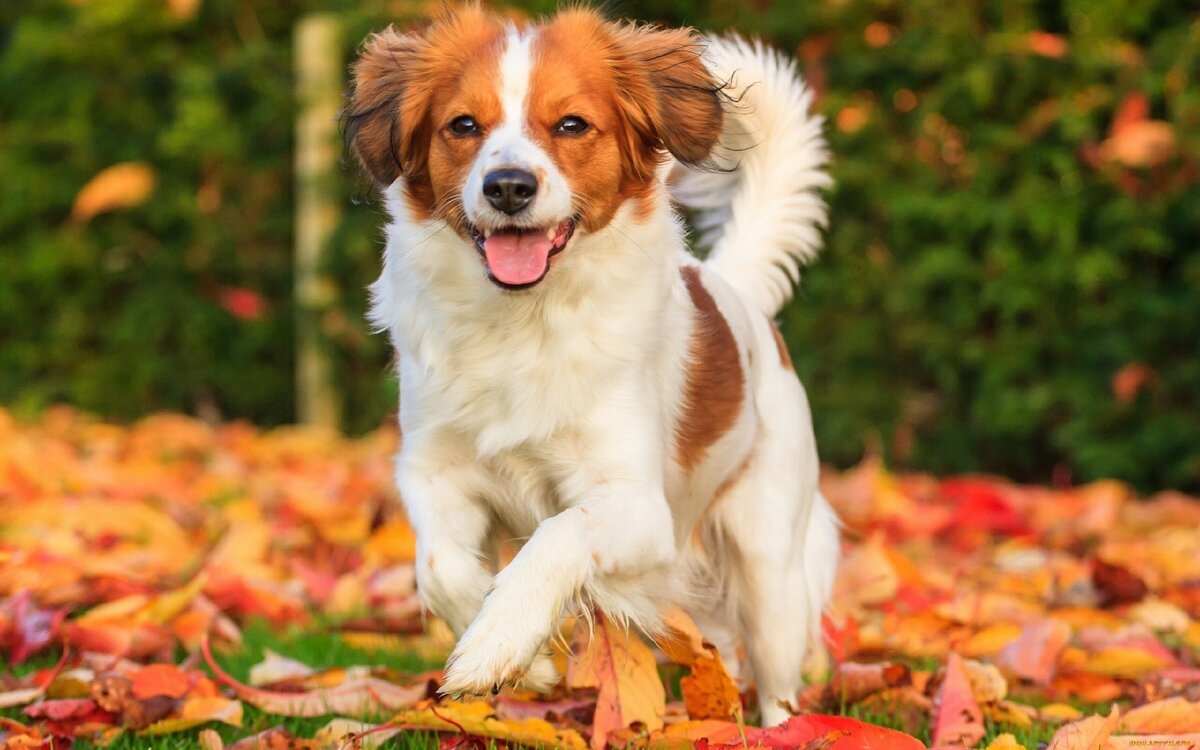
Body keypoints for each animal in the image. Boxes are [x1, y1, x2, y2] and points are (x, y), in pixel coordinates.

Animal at [343, 2, 840, 724]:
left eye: (571, 124)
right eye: (463, 125)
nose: (509, 187)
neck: (523, 320)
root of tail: (737, 288)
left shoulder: (639, 507)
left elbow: (561, 532)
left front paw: (498, 640)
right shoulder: (434, 470)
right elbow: (439, 567)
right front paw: (528, 662)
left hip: (768, 563)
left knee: (778, 679)